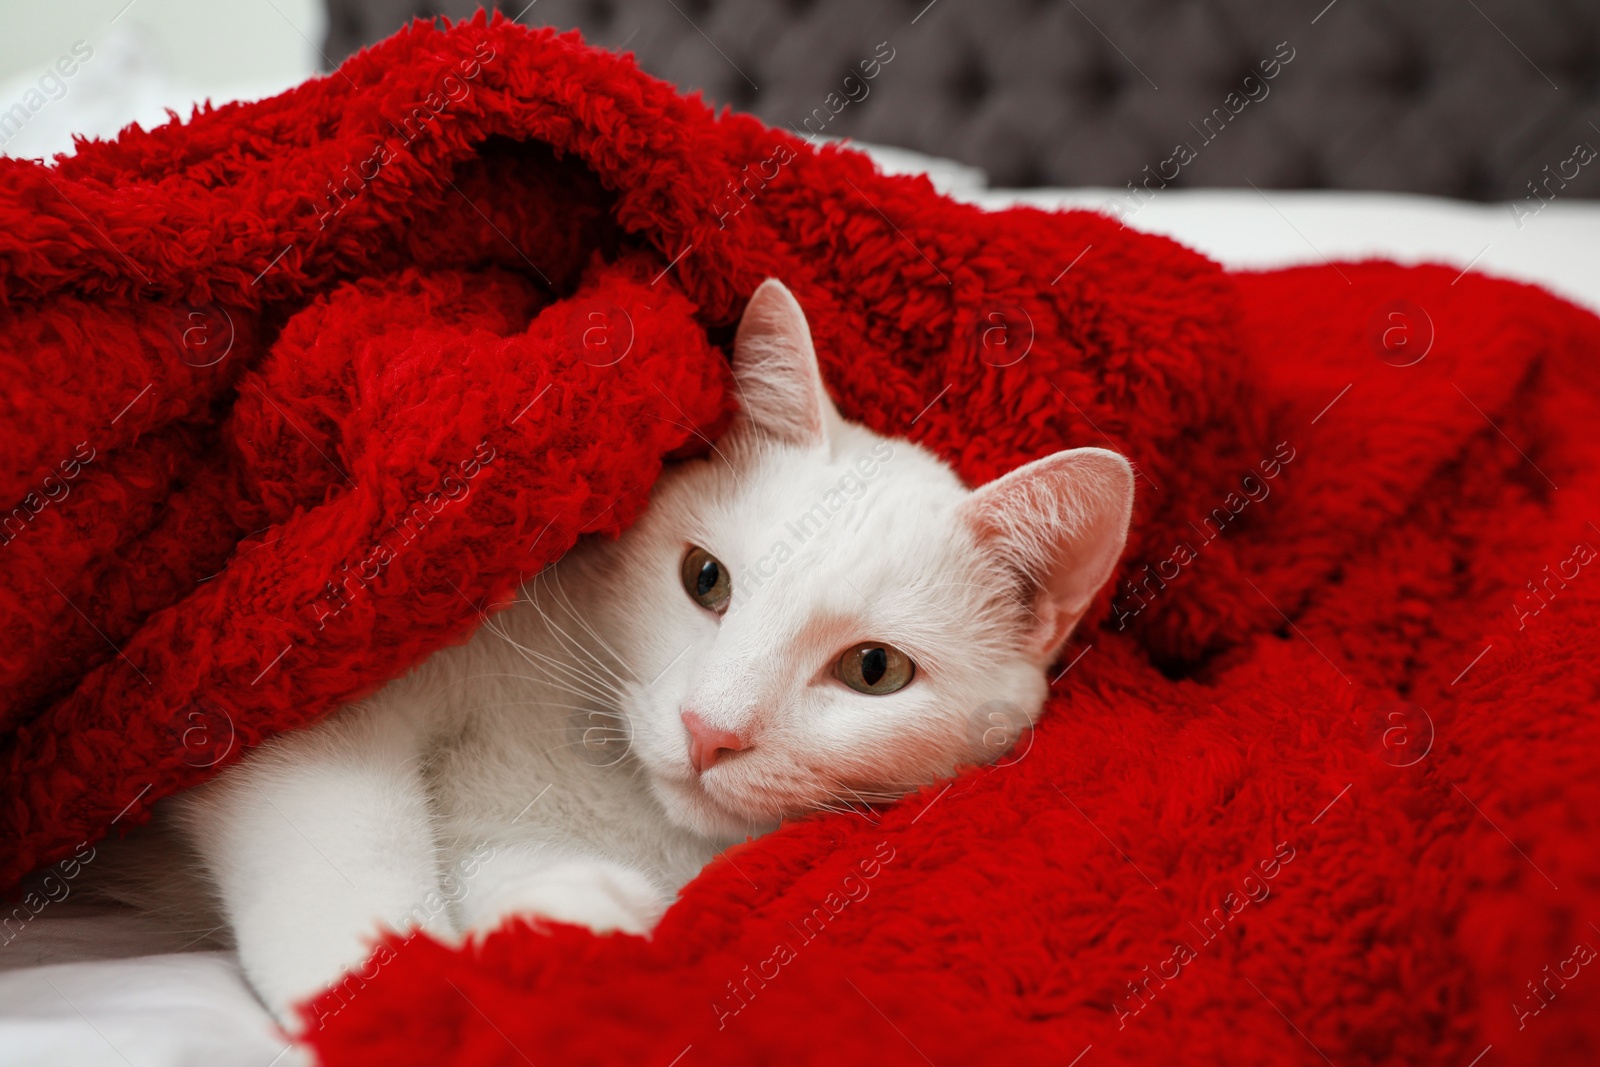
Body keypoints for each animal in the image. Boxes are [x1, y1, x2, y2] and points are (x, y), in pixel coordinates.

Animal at [124, 279, 1132, 1023]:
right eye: (705, 579)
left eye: (874, 670)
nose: (708, 730)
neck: (611, 783)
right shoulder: (319, 684)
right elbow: (343, 834)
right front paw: (383, 987)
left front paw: (561, 920)